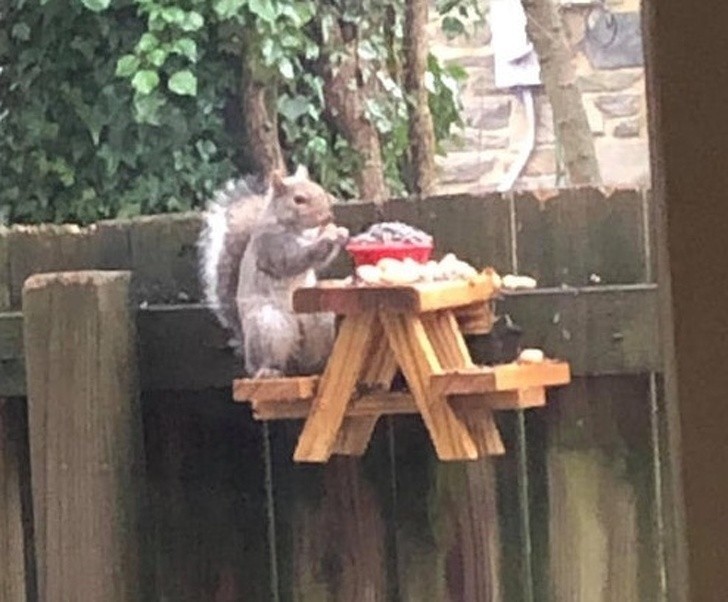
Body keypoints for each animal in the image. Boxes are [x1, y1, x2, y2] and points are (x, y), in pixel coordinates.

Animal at [198, 164, 348, 378]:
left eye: (320, 188)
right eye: (298, 200)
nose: (327, 216)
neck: (297, 229)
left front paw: (339, 232)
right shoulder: (271, 246)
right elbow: (294, 259)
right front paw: (328, 237)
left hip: (319, 320)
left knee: (306, 362)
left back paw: (317, 366)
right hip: (269, 326)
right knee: (270, 361)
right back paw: (269, 370)